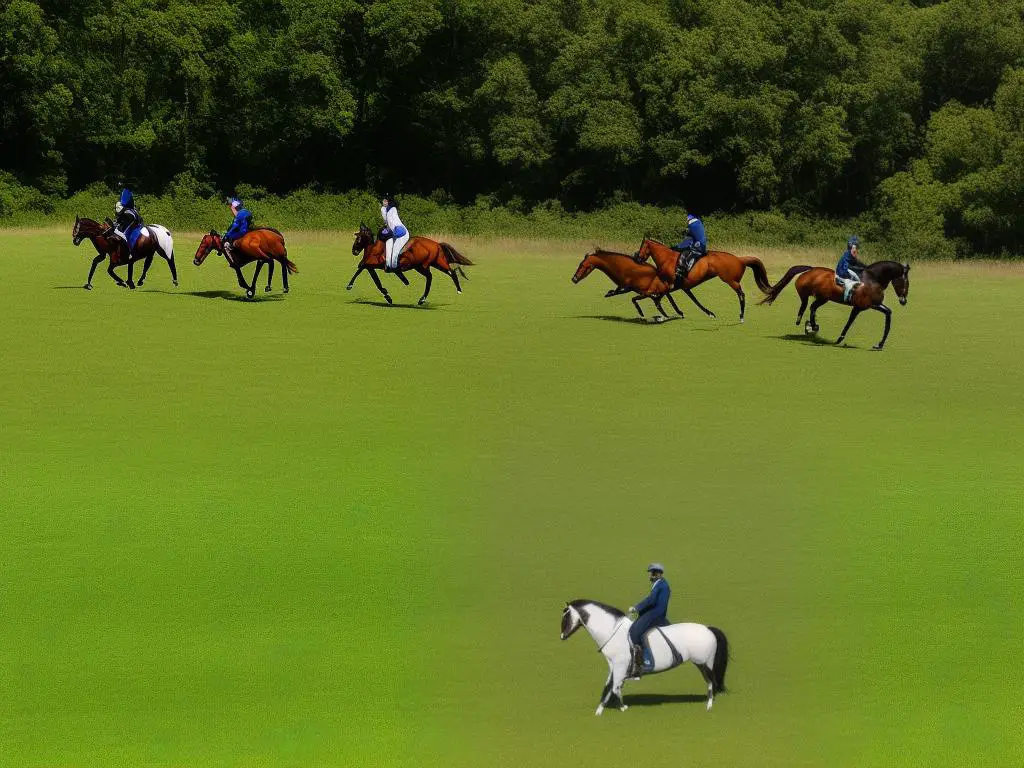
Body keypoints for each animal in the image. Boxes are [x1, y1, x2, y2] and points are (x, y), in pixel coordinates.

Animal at [561, 598, 729, 720]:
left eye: (566, 617)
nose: (562, 636)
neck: (613, 632)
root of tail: (708, 628)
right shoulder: (614, 666)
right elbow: (608, 687)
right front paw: (599, 711)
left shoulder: (620, 666)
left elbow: (615, 688)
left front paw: (622, 708)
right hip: (701, 664)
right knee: (710, 682)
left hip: (705, 664)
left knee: (712, 682)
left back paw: (709, 706)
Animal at [630, 241, 770, 323]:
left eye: (642, 247)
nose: (637, 258)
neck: (667, 259)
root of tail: (740, 259)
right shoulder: (681, 287)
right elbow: (692, 300)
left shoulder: (673, 286)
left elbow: (662, 297)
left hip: (731, 281)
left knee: (741, 294)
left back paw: (741, 316)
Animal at [761, 262, 913, 352]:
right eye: (905, 283)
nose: (903, 301)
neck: (872, 280)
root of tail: (810, 269)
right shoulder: (862, 307)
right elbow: (849, 323)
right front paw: (840, 339)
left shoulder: (869, 306)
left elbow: (888, 314)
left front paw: (879, 345)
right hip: (815, 296)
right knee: (807, 307)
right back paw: (810, 326)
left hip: (823, 298)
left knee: (812, 308)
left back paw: (810, 326)